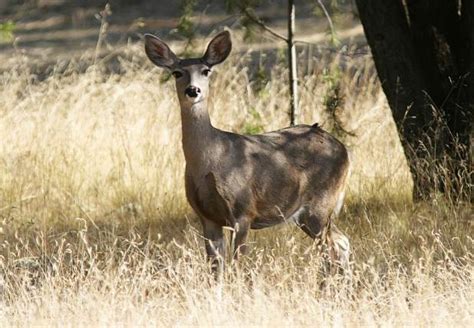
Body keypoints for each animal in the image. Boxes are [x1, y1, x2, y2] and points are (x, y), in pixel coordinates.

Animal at [144, 30, 352, 276]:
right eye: (177, 72)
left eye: (206, 71)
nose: (193, 90)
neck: (210, 159)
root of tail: (344, 149)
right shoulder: (206, 217)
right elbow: (215, 268)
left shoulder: (243, 210)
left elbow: (237, 265)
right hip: (310, 214)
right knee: (341, 242)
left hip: (320, 203)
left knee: (334, 246)